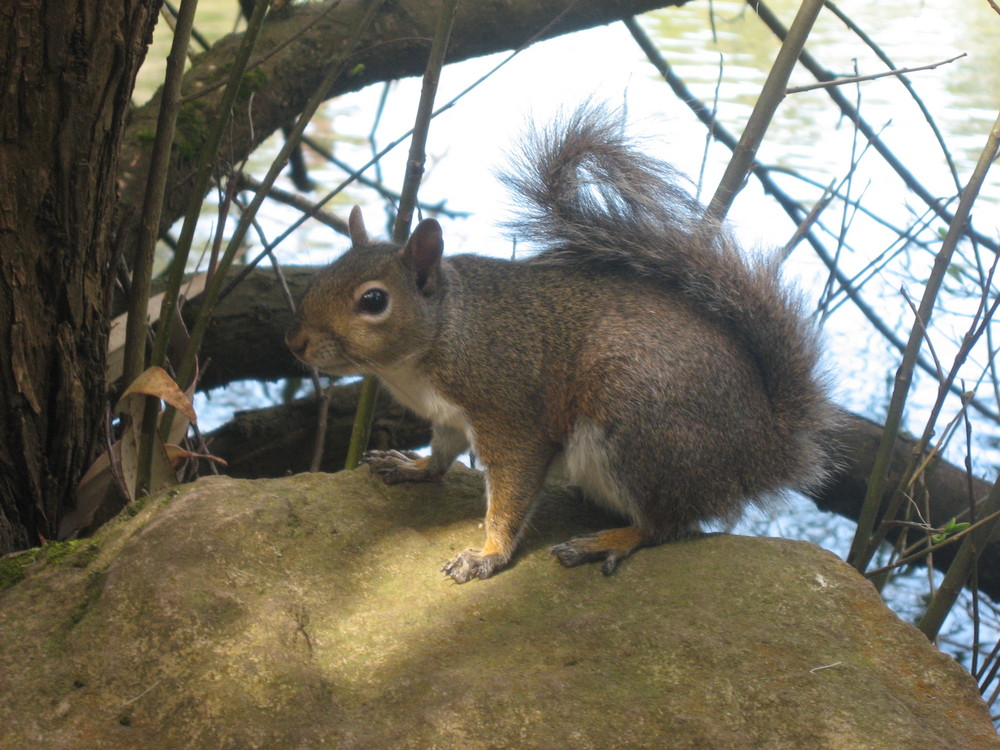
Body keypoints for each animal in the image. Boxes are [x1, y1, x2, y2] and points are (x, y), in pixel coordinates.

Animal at [286, 104, 840, 588]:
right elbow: (442, 454)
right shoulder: (449, 417)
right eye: (325, 272)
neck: (440, 338)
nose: (295, 343)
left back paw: (608, 540)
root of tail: (762, 449)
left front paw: (487, 555)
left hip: (638, 430)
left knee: (667, 525)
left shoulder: (509, 415)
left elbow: (511, 491)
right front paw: (413, 467)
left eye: (373, 300)